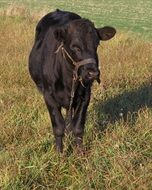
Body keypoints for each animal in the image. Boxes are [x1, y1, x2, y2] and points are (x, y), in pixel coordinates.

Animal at [28, 9, 116, 153]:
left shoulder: (85, 96)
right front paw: (60, 153)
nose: (93, 73)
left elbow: (78, 127)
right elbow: (58, 127)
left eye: (96, 44)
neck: (68, 80)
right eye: (75, 47)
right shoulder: (49, 96)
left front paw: (79, 152)